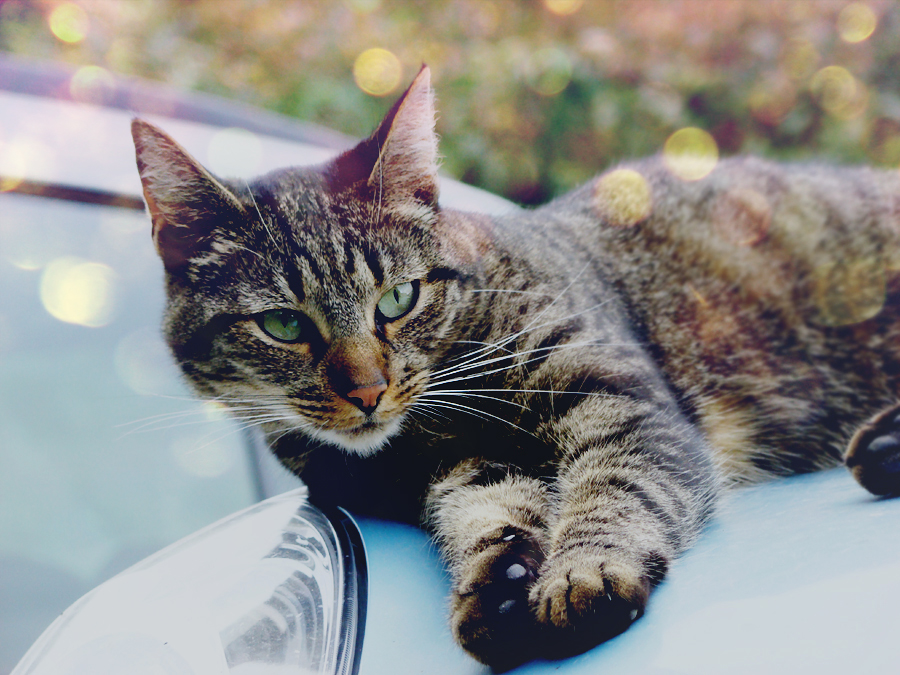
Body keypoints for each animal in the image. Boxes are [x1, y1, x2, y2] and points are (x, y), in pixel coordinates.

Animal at [130, 66, 900, 668]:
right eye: (285, 324)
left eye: (398, 298)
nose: (369, 391)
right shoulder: (461, 470)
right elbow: (483, 513)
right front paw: (499, 581)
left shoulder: (619, 399)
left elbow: (615, 485)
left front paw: (583, 571)